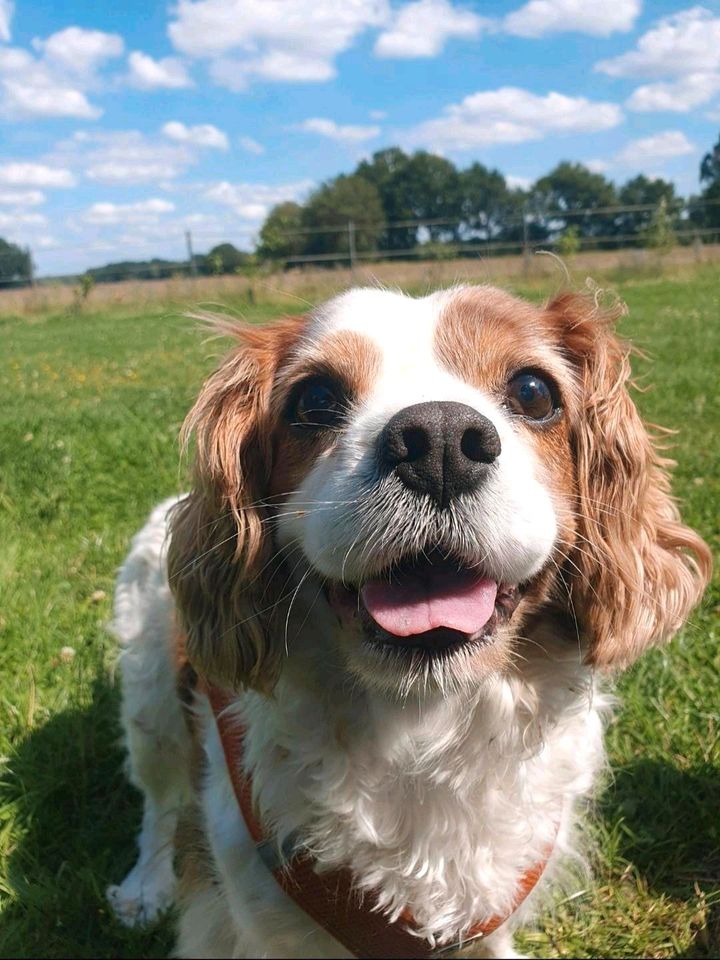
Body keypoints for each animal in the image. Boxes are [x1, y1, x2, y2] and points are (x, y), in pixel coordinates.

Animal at [107, 286, 708, 960]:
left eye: (534, 392)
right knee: (158, 803)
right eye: (314, 399)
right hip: (152, 707)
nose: (439, 440)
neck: (423, 723)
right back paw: (144, 887)